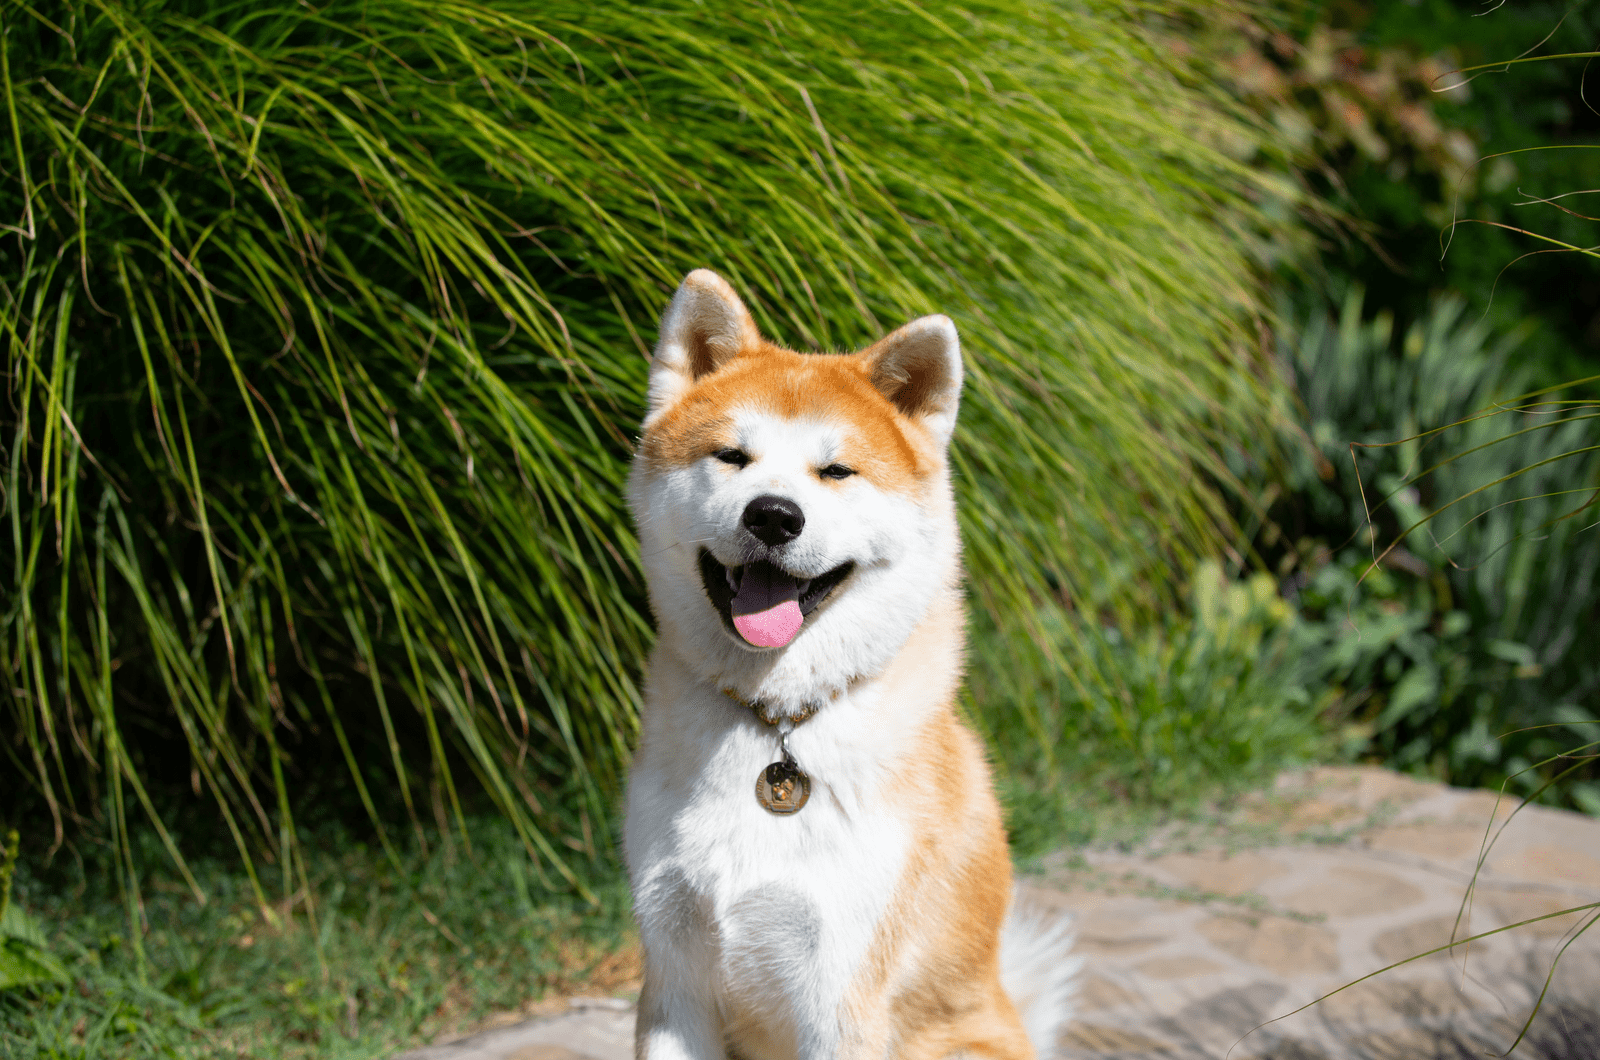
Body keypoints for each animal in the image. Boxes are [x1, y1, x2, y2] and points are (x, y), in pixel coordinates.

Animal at [620, 272, 1075, 1060]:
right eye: (731, 456)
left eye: (835, 471)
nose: (773, 515)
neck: (776, 726)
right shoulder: (674, 984)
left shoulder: (838, 993)